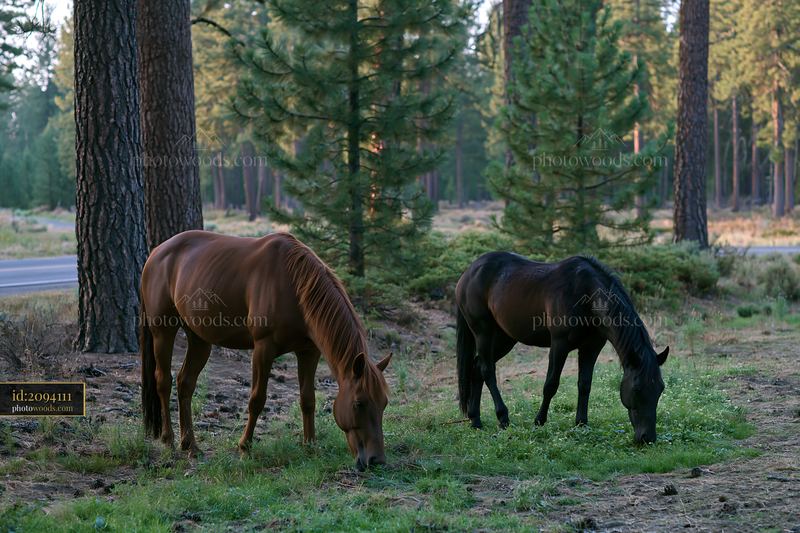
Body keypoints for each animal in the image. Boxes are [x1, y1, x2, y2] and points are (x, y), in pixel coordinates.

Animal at [139, 231, 391, 470]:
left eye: (384, 403)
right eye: (359, 403)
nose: (376, 460)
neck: (294, 286)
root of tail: (156, 253)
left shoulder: (309, 352)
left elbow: (308, 400)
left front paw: (310, 446)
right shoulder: (263, 349)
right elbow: (257, 400)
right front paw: (245, 447)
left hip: (199, 339)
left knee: (185, 383)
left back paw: (190, 445)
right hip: (163, 332)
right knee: (164, 381)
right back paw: (168, 439)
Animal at [456, 252, 668, 444]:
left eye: (660, 388)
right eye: (637, 389)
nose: (647, 438)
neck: (586, 293)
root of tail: (468, 272)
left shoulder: (591, 347)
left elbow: (585, 385)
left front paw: (581, 423)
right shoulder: (559, 344)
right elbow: (551, 384)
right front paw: (539, 421)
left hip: (505, 338)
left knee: (476, 369)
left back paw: (475, 421)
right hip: (483, 332)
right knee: (487, 370)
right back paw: (502, 417)